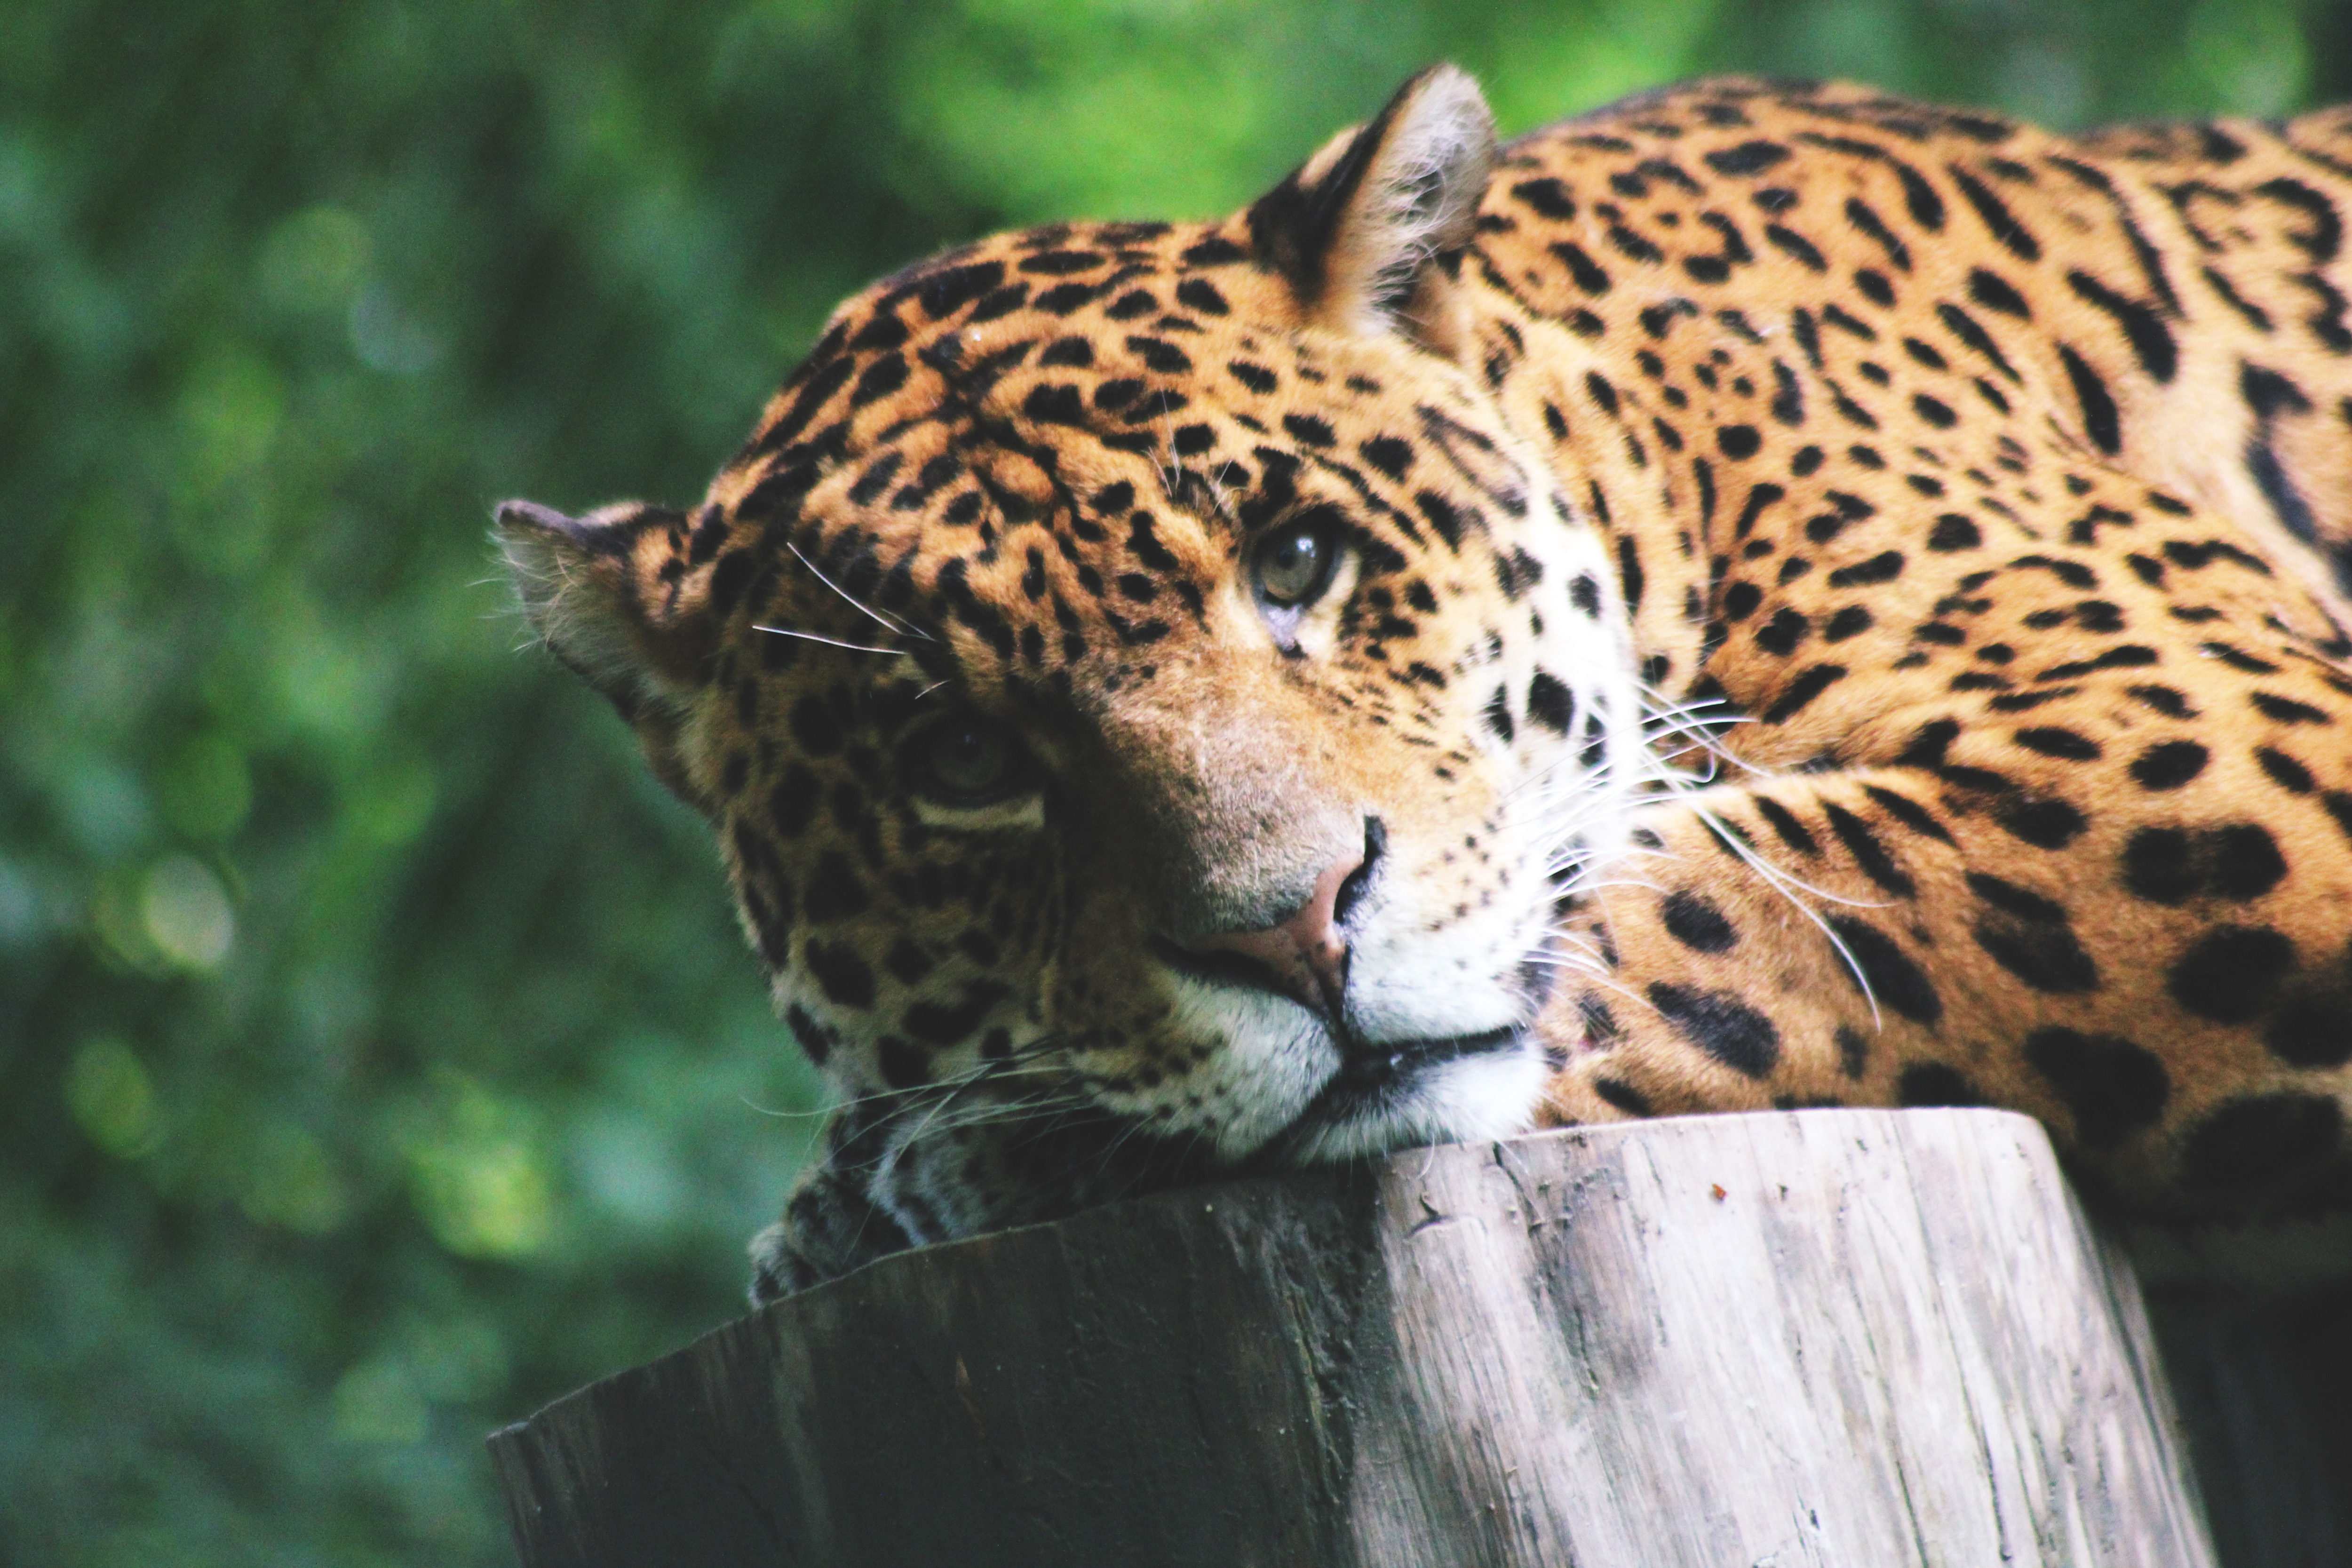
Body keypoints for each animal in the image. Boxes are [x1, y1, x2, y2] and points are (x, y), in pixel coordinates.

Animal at [499, 66, 2352, 1303]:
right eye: (958, 755)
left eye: (1299, 560)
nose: (1291, 935)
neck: (1663, 443)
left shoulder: (2212, 747)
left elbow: (1736, 890)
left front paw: (936, 1170)